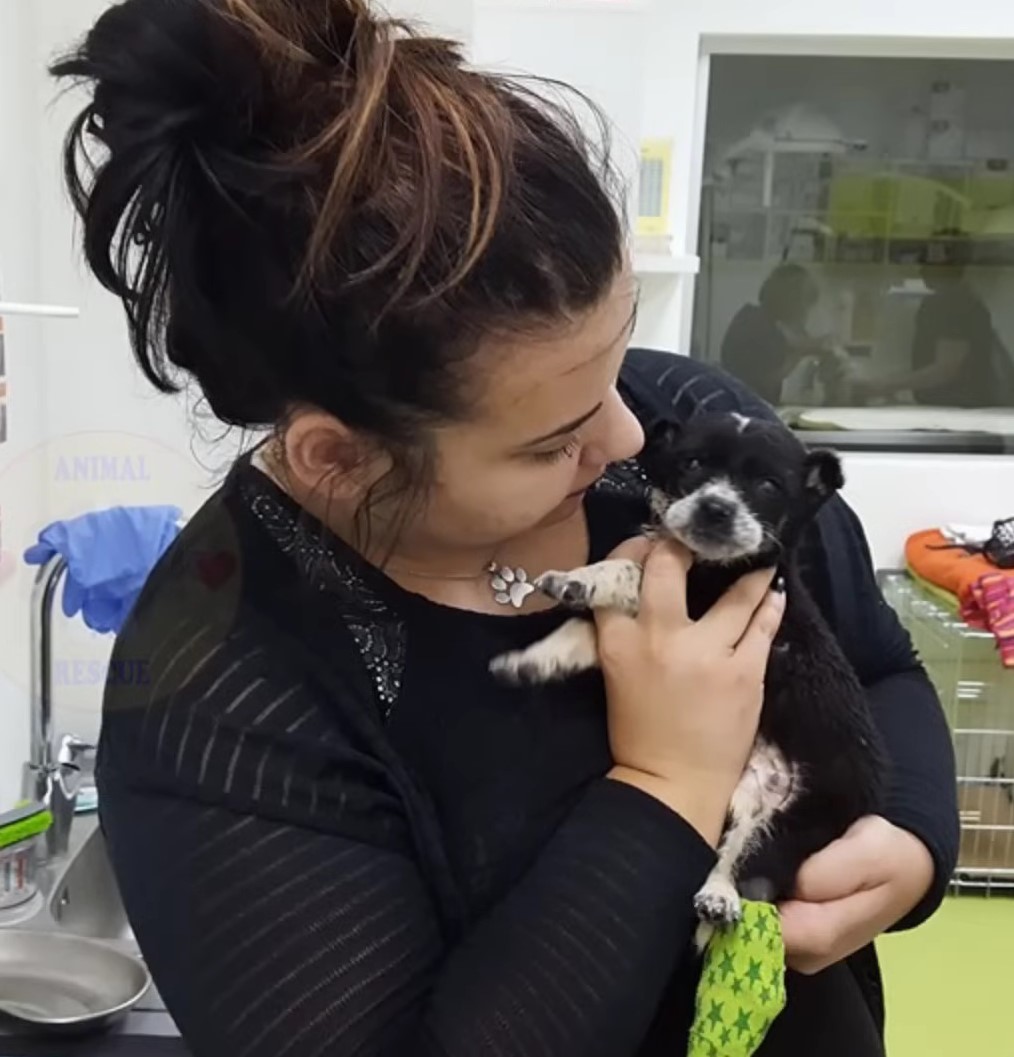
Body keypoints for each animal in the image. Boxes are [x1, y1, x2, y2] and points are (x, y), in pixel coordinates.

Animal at [494, 410, 883, 942]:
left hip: (792, 818)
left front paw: (583, 577)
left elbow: (628, 571)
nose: (715, 508)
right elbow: (582, 630)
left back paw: (719, 898)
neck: (708, 564)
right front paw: (533, 657)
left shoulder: (699, 600)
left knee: (749, 870)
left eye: (767, 485)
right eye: (692, 463)